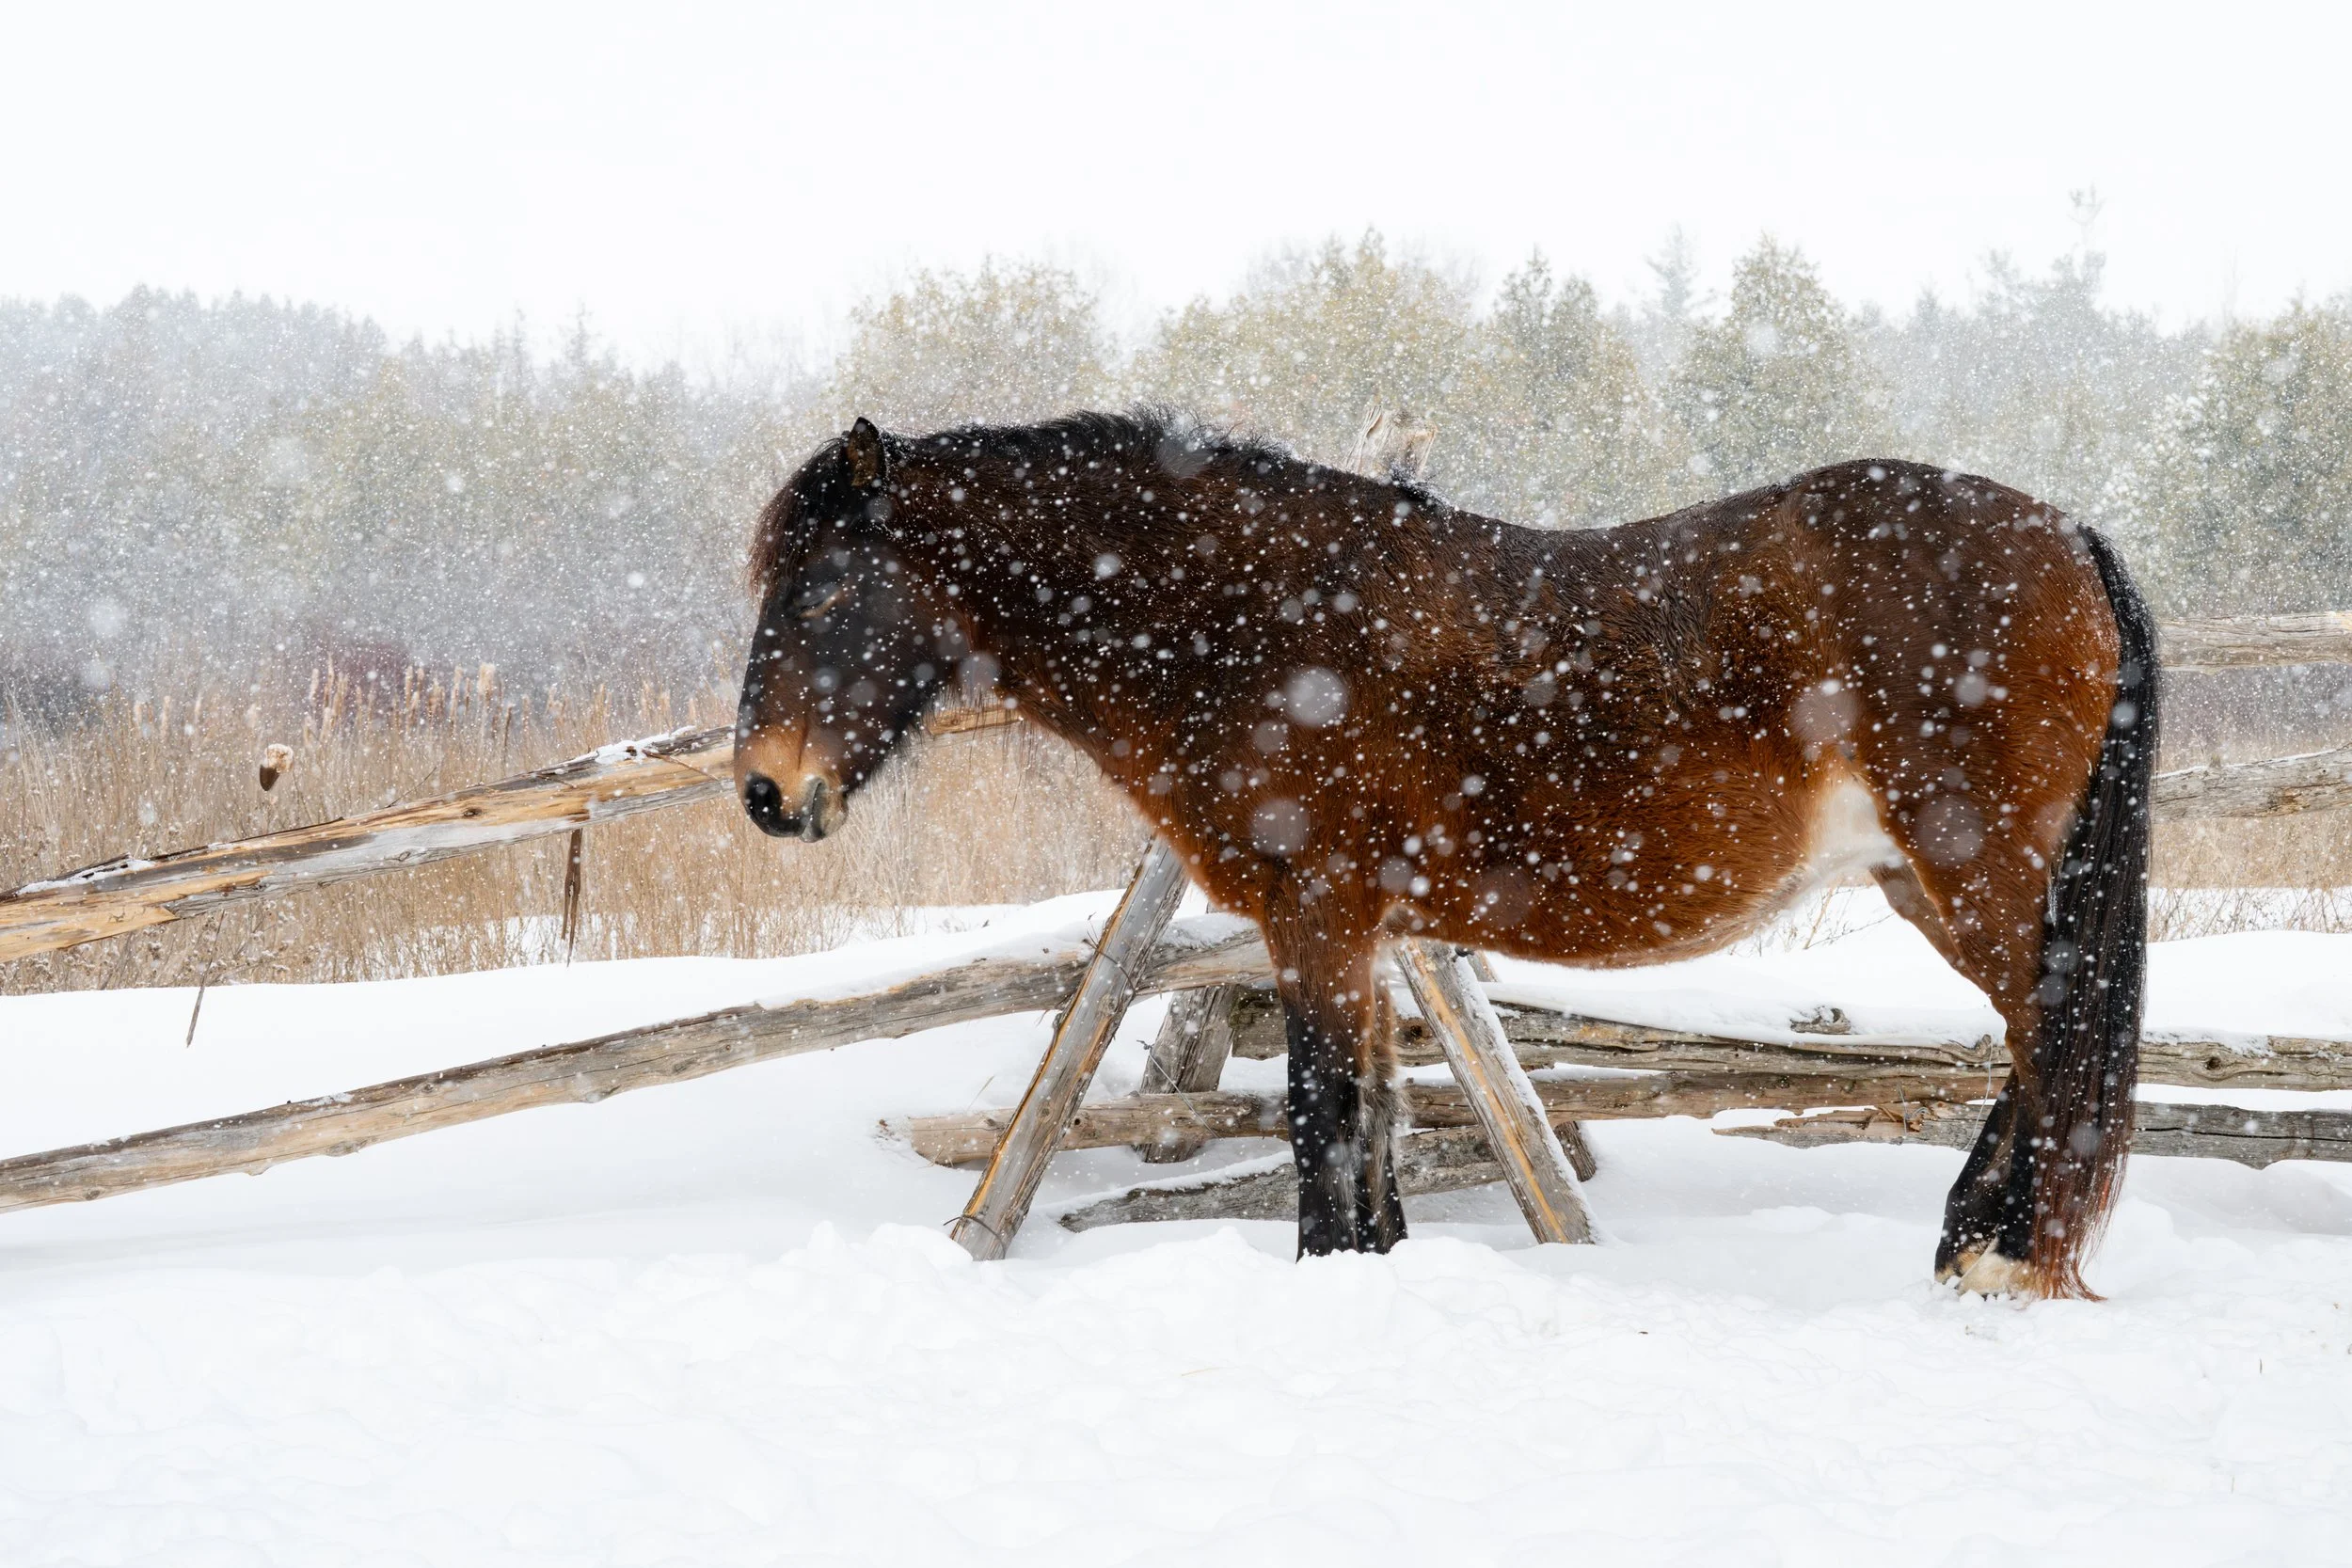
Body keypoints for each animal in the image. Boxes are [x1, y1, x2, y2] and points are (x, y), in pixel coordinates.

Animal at [733, 410, 2158, 1299]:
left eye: (826, 585)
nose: (765, 789)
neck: (1257, 621)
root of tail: (2066, 532)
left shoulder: (1314, 916)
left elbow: (1321, 1118)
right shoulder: (1368, 935)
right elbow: (1375, 1128)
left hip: (1977, 873)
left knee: (2051, 1030)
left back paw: (2001, 1257)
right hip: (1929, 883)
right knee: (2039, 1036)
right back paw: (1970, 1244)